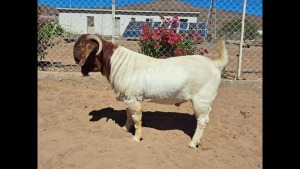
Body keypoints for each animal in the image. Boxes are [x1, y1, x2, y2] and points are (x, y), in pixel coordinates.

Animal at [74, 34, 229, 148]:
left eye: (81, 46)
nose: (75, 59)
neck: (118, 63)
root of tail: (215, 64)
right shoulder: (128, 98)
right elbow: (128, 115)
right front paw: (125, 128)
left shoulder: (133, 98)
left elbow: (136, 118)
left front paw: (136, 137)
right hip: (205, 101)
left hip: (201, 99)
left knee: (202, 120)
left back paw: (192, 143)